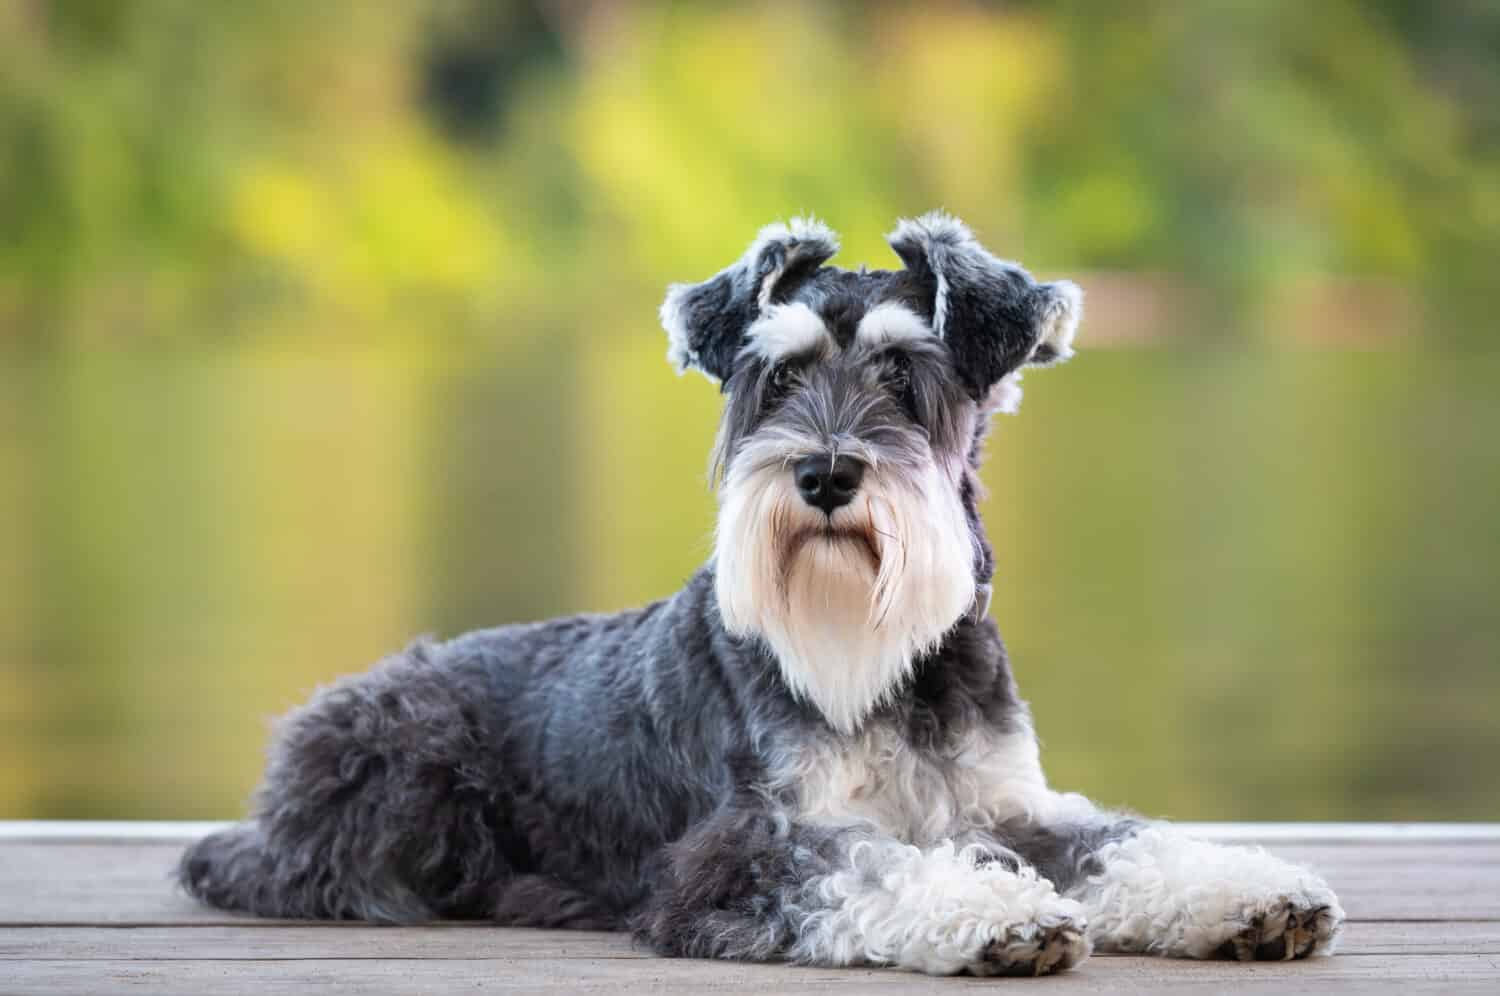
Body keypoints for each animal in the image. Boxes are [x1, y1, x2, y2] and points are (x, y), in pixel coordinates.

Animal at [178, 214, 1350, 978]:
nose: (825, 475)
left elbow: (1124, 841)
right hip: (403, 759)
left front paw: (1251, 894)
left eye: (904, 377)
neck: (885, 666)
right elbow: (865, 865)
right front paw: (989, 913)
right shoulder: (741, 849)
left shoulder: (1008, 806)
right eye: (777, 379)